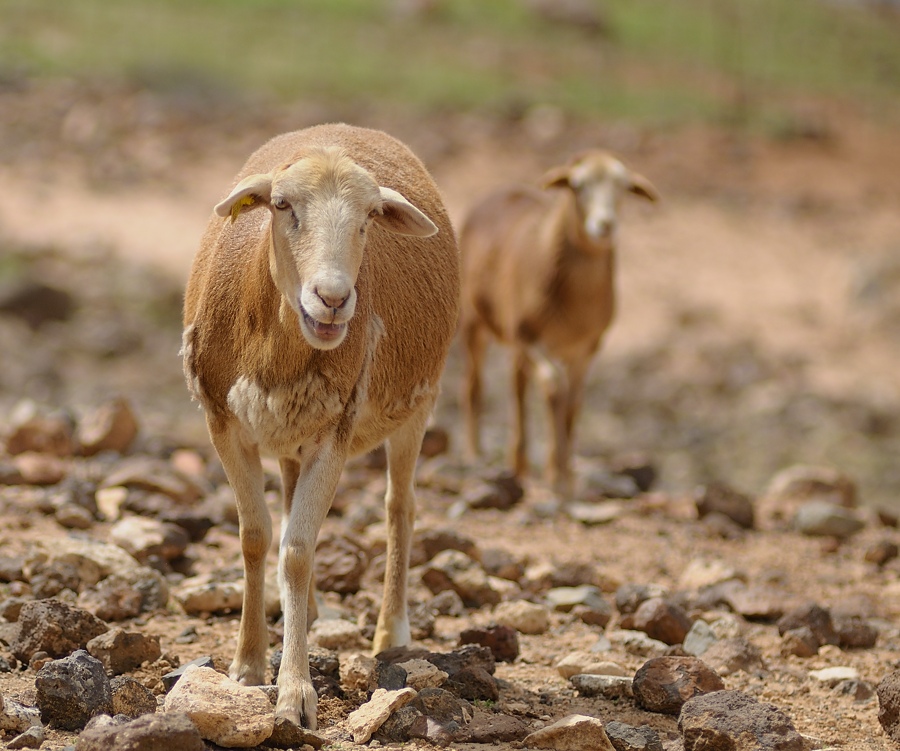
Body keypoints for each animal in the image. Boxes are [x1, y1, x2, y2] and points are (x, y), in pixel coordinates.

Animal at [180, 123, 460, 728]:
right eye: (282, 205)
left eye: (371, 216)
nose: (332, 298)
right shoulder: (221, 421)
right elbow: (257, 537)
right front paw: (248, 665)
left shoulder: (337, 428)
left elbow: (298, 551)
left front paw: (294, 693)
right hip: (292, 431)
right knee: (288, 505)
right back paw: (304, 612)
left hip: (418, 402)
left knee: (398, 508)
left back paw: (391, 633)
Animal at [460, 149, 656, 496]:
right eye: (577, 185)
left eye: (624, 187)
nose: (605, 224)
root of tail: (499, 192)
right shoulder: (529, 337)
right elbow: (555, 388)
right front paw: (554, 473)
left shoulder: (587, 347)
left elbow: (574, 402)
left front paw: (568, 475)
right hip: (475, 322)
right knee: (474, 387)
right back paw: (475, 454)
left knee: (517, 385)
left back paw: (519, 463)